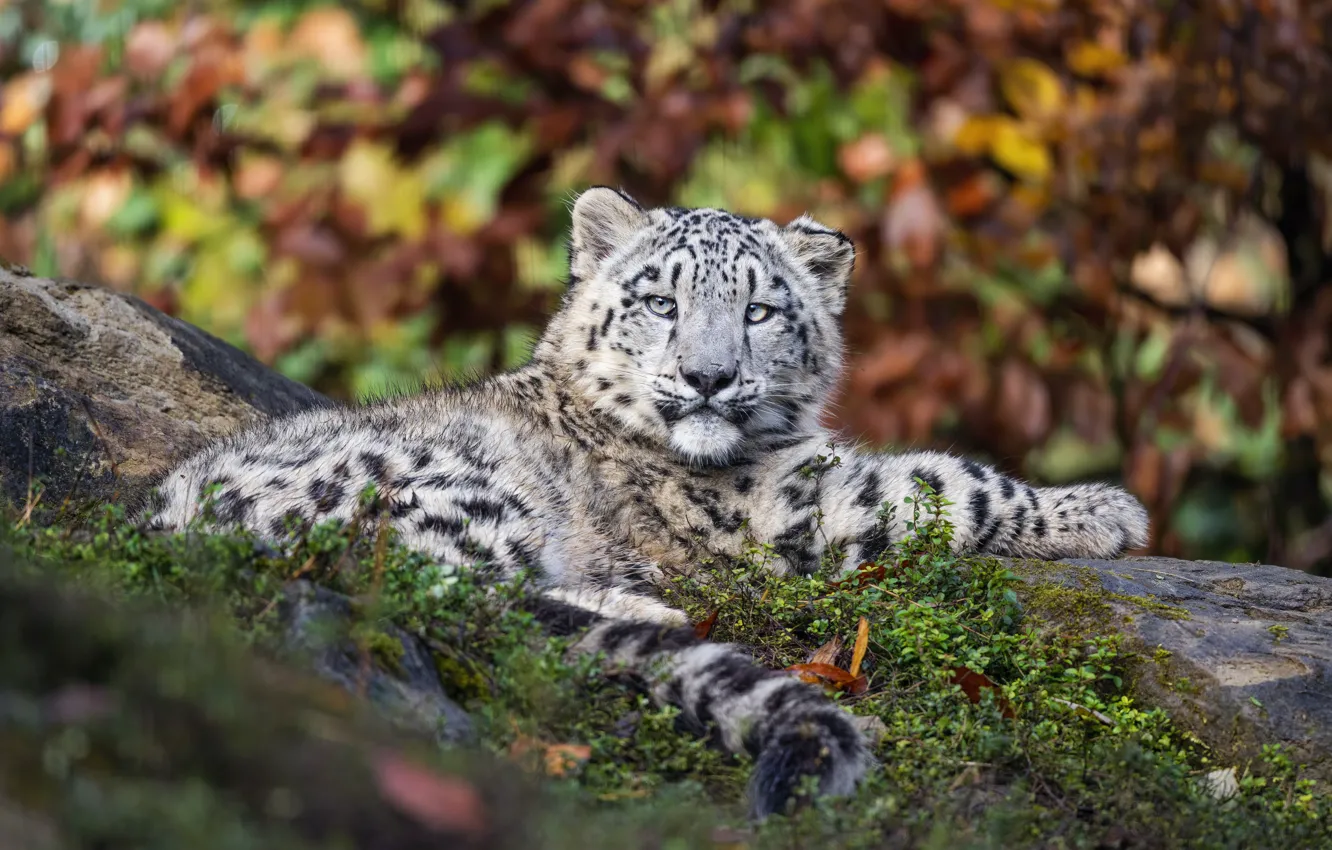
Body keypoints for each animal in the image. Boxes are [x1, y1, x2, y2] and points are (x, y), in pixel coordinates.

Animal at [143, 187, 1150, 818]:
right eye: (660, 300)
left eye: (759, 312)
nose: (707, 378)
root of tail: (174, 521)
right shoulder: (788, 504)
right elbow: (948, 483)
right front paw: (1103, 510)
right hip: (458, 490)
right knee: (460, 598)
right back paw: (650, 610)